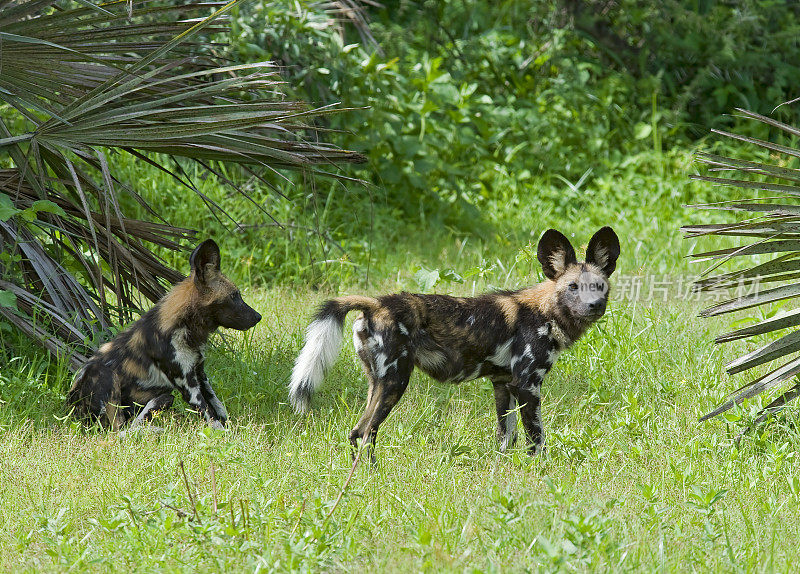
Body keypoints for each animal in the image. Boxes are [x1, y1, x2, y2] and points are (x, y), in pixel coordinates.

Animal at [68, 238, 262, 432]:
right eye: (234, 296)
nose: (258, 317)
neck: (187, 327)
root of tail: (71, 412)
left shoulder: (200, 374)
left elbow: (218, 405)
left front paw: (231, 426)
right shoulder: (190, 387)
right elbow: (210, 414)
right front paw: (225, 434)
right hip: (103, 375)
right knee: (118, 430)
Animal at [288, 230, 620, 460]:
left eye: (599, 286)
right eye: (572, 287)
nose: (594, 305)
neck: (545, 312)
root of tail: (377, 303)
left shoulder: (504, 384)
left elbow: (506, 437)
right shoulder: (527, 385)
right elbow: (536, 438)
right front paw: (541, 471)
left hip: (377, 382)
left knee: (357, 432)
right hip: (396, 381)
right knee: (368, 431)